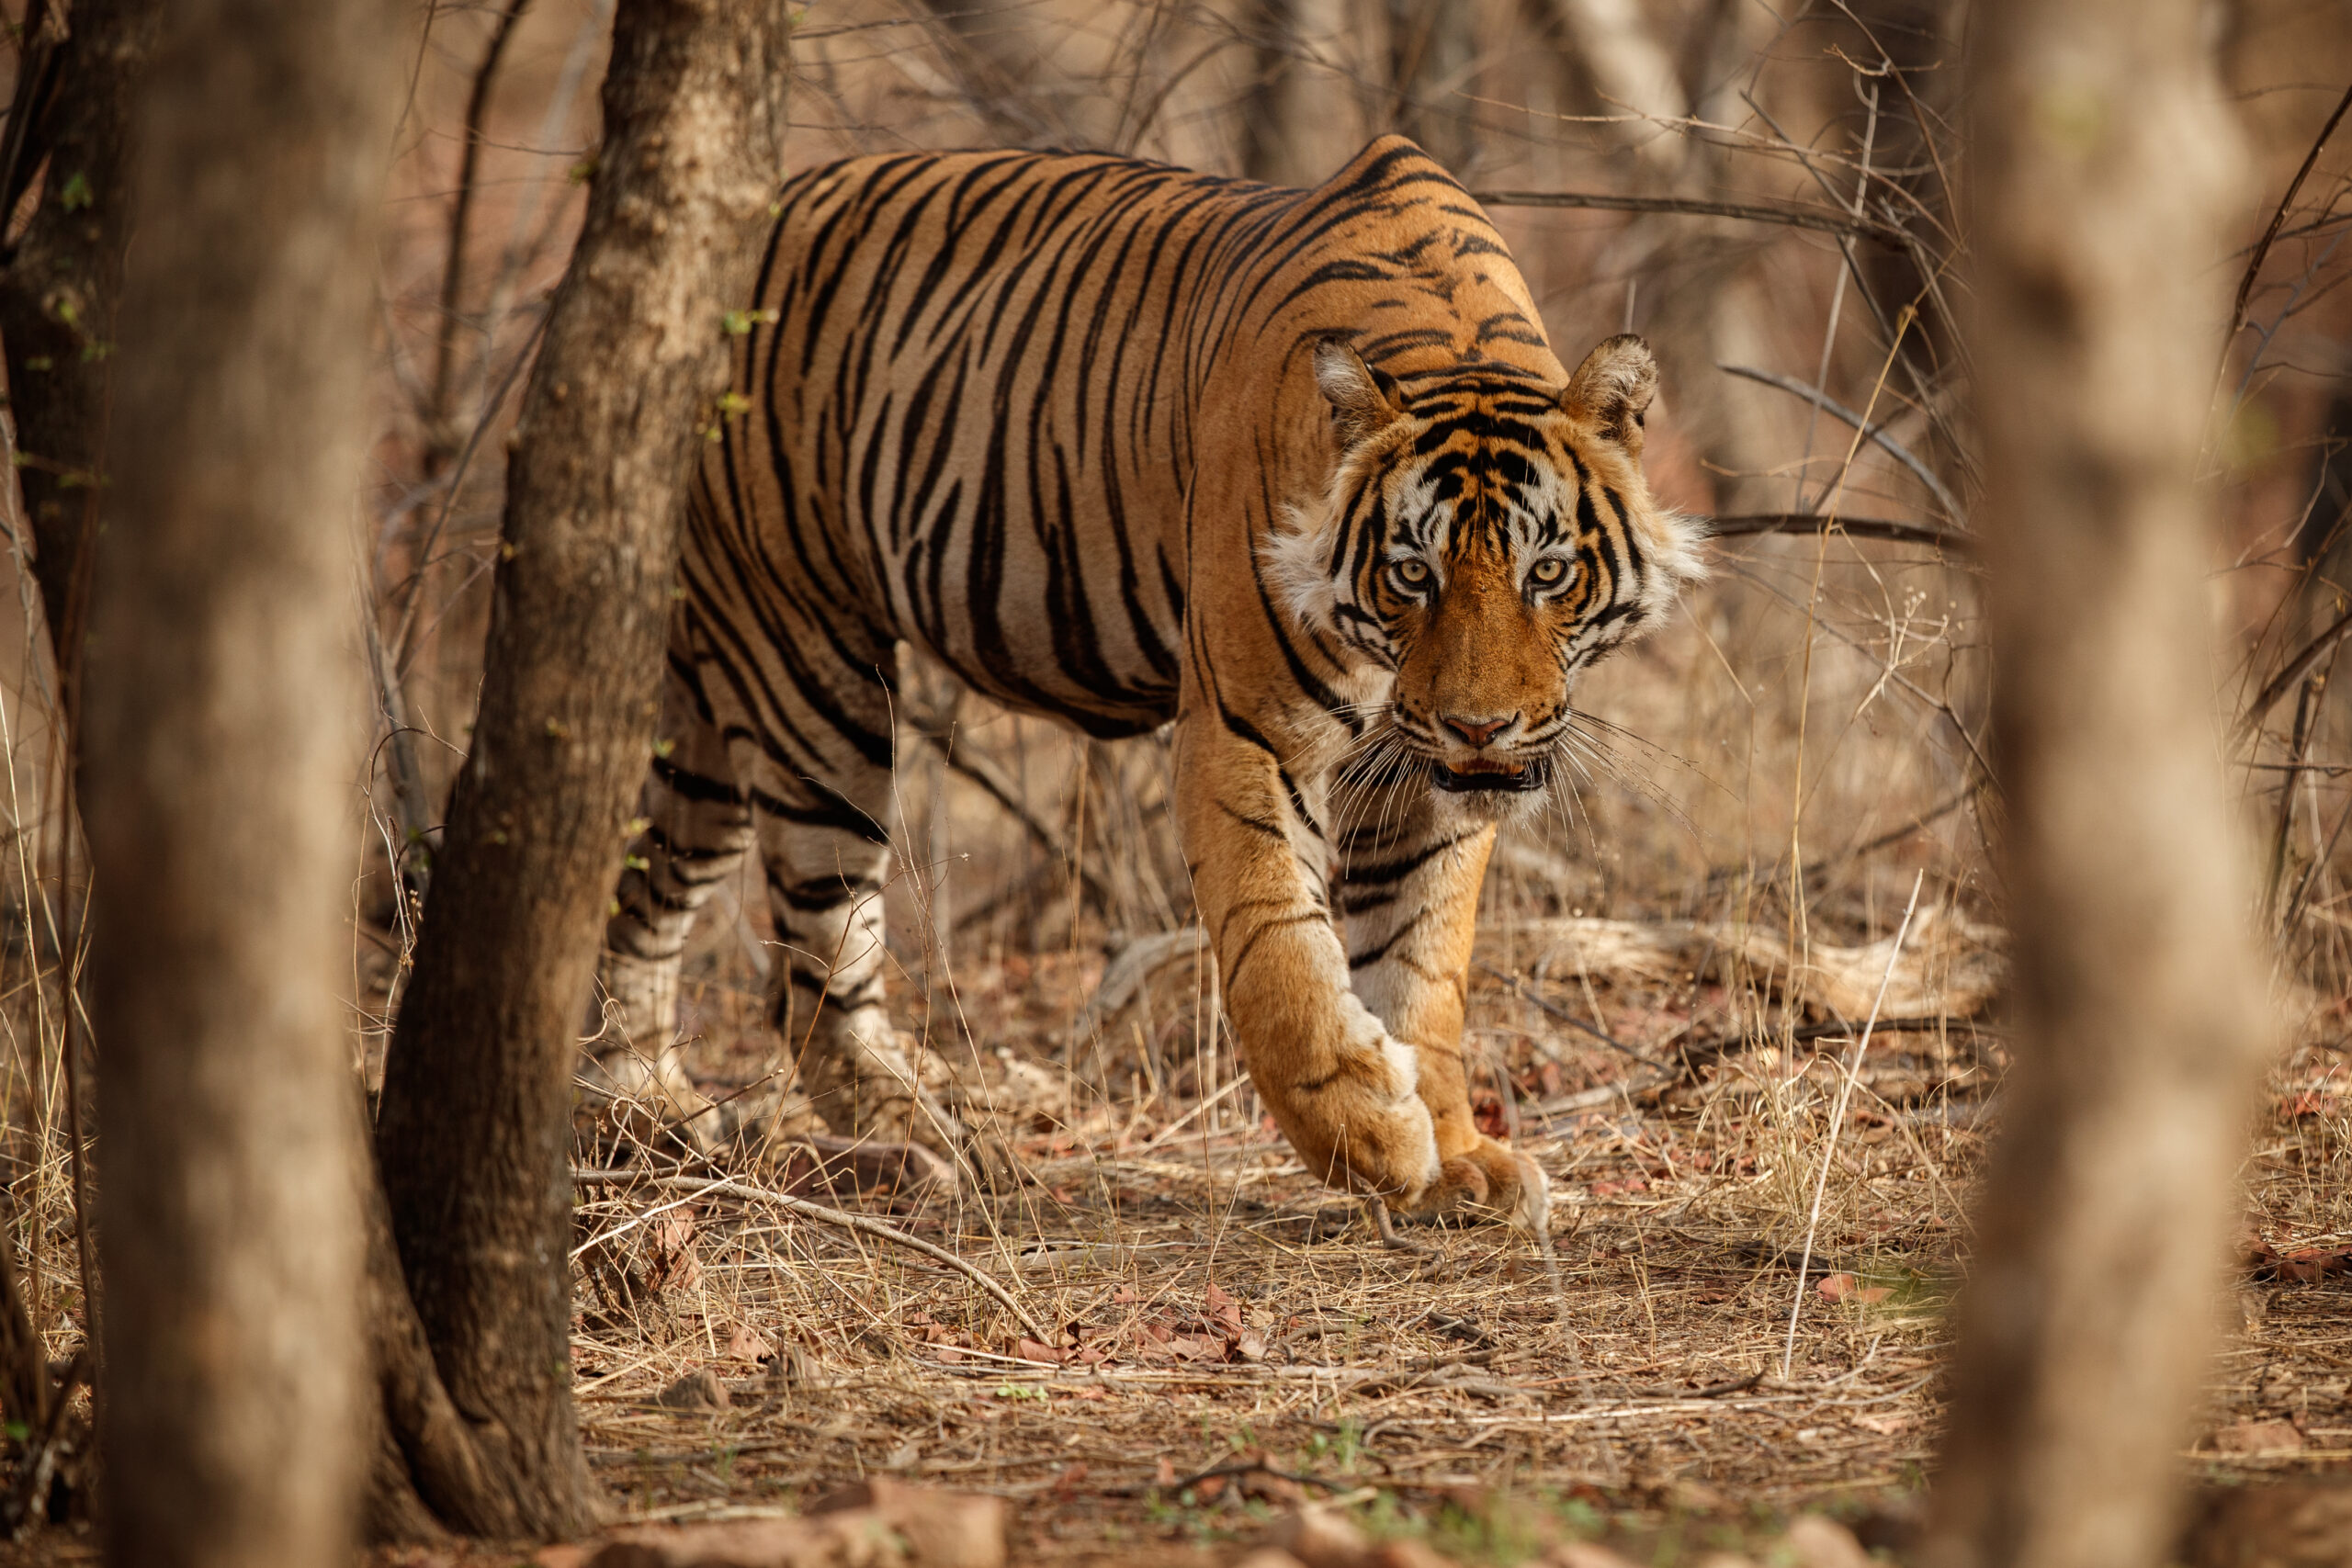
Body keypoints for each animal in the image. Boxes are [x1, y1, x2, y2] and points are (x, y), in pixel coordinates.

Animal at [587, 134, 1702, 1234]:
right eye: (1411, 575)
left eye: (1545, 574)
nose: (1481, 727)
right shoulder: (1248, 731)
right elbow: (1278, 955)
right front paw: (1373, 1136)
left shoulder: (1421, 778)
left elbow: (1421, 963)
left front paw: (1455, 1158)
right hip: (810, 668)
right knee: (814, 956)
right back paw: (939, 1147)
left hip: (708, 704)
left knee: (642, 886)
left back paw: (644, 1105)